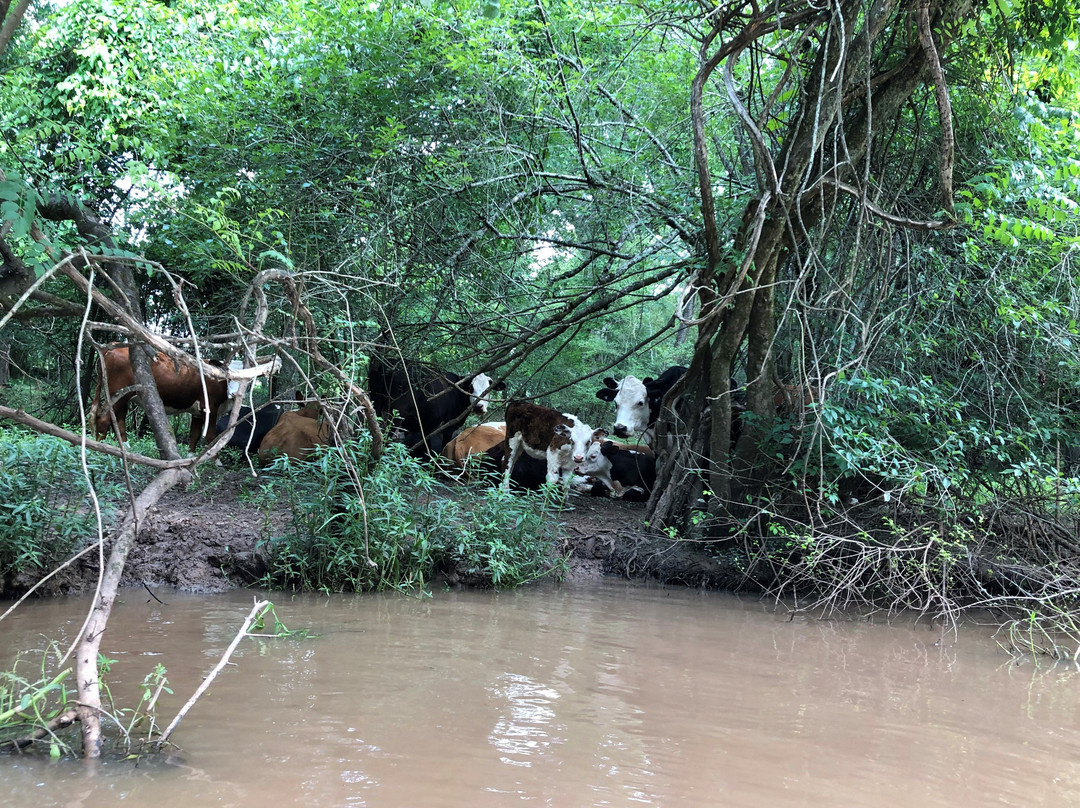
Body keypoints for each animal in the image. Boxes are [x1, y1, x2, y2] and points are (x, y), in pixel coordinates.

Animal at [89, 343, 230, 451]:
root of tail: (113, 346)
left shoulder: (197, 412)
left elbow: (194, 435)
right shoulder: (210, 406)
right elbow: (212, 436)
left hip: (123, 397)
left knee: (119, 421)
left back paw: (127, 448)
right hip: (116, 394)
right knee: (104, 419)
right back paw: (101, 448)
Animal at [369, 356, 503, 458]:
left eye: (489, 388)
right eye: (470, 387)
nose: (479, 407)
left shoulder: (427, 426)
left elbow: (426, 446)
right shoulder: (448, 424)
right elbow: (444, 446)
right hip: (395, 415)